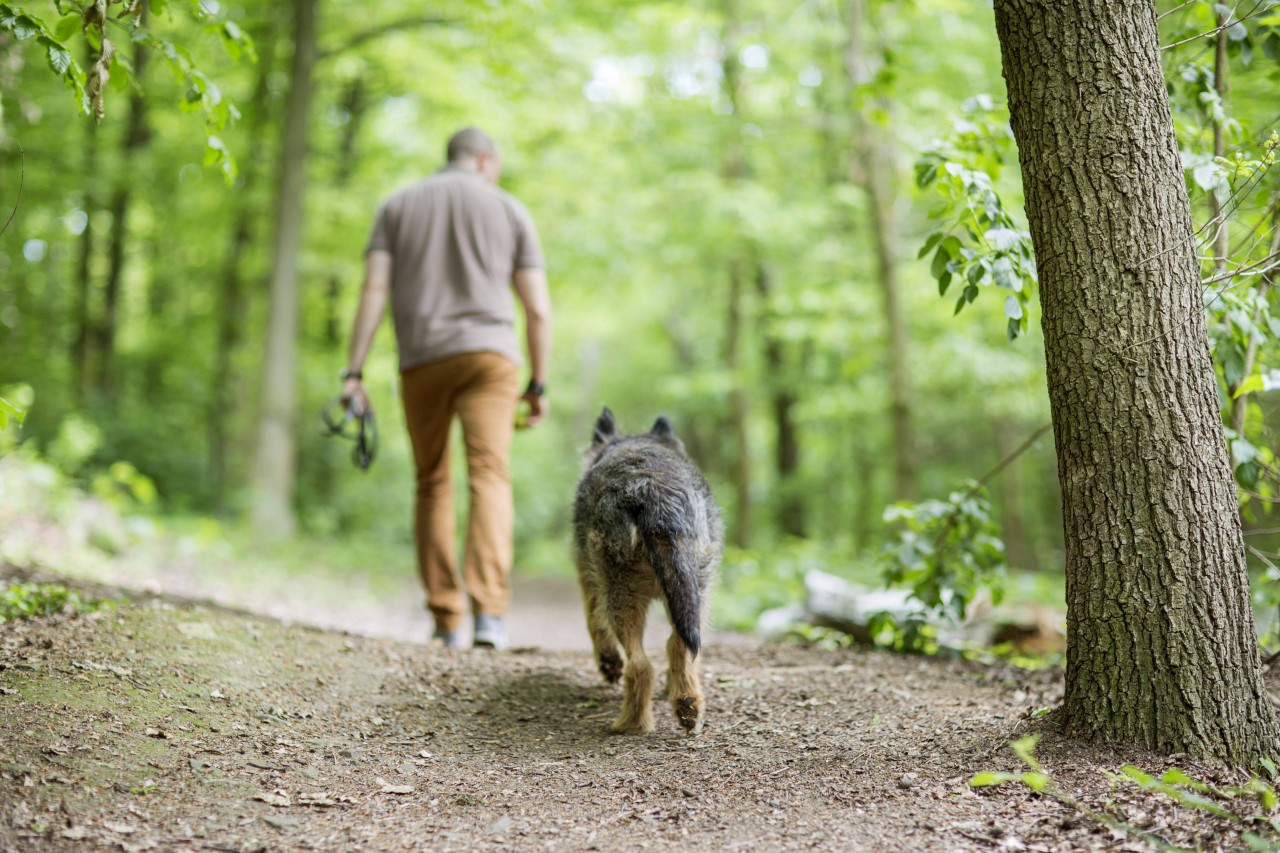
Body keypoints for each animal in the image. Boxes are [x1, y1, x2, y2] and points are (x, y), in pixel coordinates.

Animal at [570, 407, 721, 732]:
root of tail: (653, 491)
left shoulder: (588, 579)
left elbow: (593, 623)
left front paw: (608, 662)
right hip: (695, 589)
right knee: (675, 648)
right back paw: (687, 704)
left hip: (617, 591)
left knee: (639, 664)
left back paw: (630, 723)